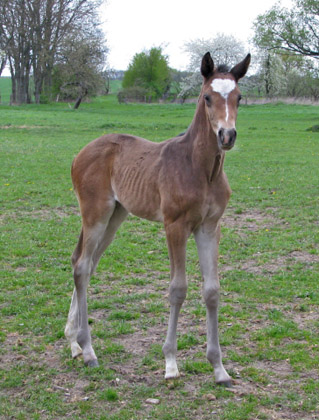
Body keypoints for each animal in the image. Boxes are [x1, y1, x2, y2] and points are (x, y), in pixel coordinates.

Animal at [64, 52, 250, 388]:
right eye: (207, 97)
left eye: (239, 97)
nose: (227, 135)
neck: (200, 168)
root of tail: (79, 154)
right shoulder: (175, 226)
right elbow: (178, 289)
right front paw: (171, 363)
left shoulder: (209, 228)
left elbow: (212, 291)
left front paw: (219, 369)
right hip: (95, 214)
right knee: (83, 267)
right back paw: (88, 350)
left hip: (115, 217)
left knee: (83, 264)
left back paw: (73, 342)